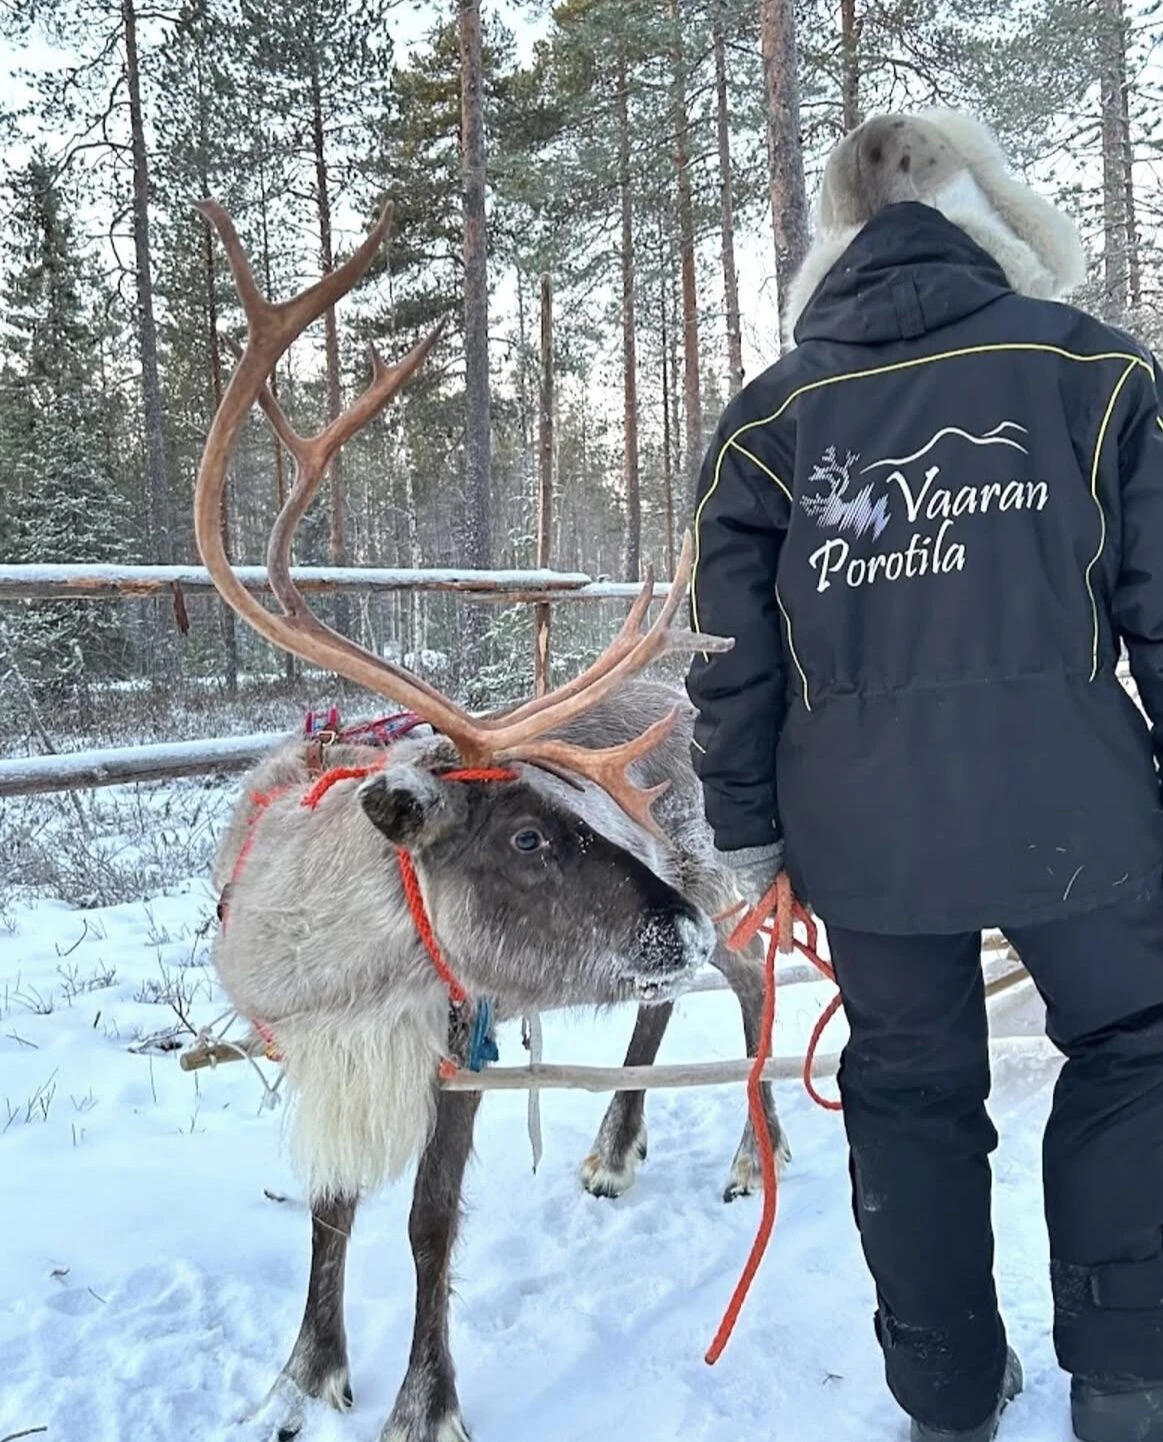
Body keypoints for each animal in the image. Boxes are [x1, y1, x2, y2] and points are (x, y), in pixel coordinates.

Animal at [193, 200, 789, 1442]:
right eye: (526, 836)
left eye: (568, 810)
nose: (672, 921)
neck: (335, 971)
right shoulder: (326, 1049)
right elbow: (329, 1208)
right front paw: (308, 1372)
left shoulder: (453, 1046)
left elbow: (428, 1222)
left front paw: (424, 1402)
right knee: (675, 998)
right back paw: (614, 1149)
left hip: (724, 887)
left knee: (755, 981)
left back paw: (750, 1161)